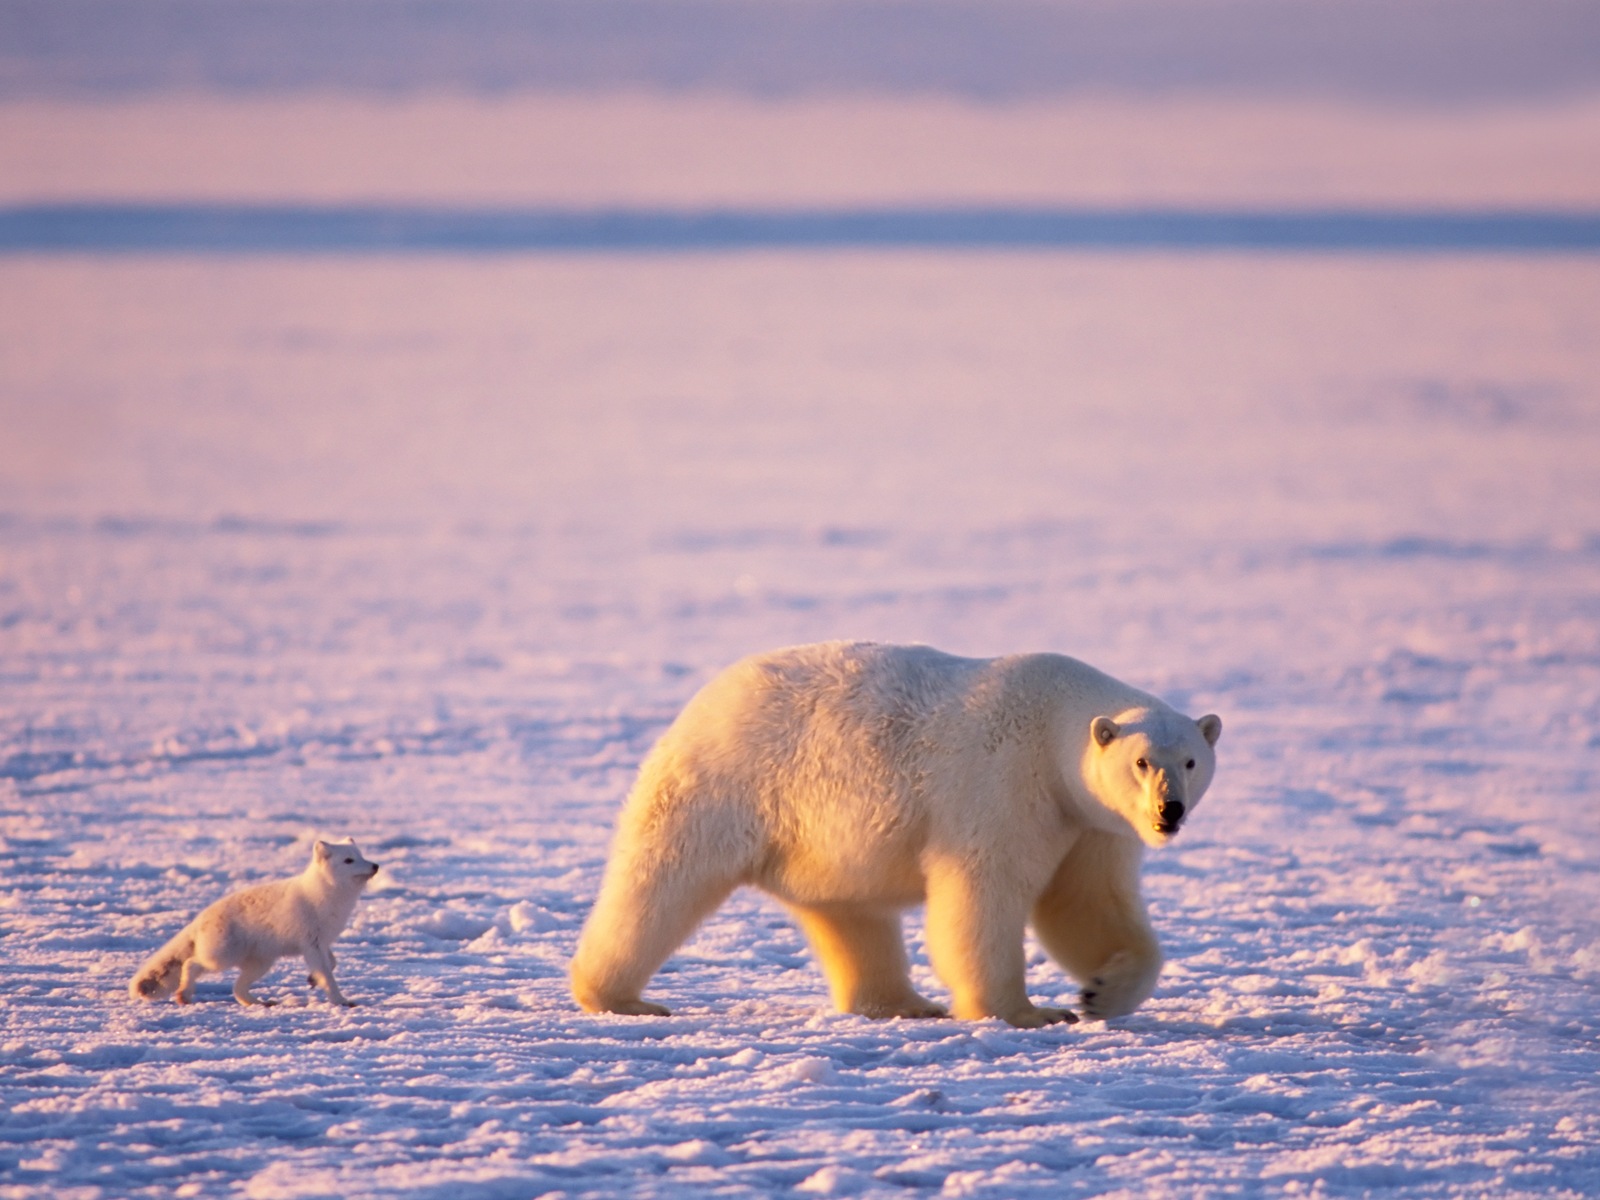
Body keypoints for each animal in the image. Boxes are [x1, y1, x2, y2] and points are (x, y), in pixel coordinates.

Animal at [129, 838, 379, 1011]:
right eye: (348, 860)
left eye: (362, 855)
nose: (375, 865)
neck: (326, 897)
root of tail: (200, 917)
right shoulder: (311, 943)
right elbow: (327, 975)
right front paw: (340, 1000)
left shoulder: (322, 942)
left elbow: (332, 963)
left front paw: (312, 979)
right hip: (222, 957)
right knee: (191, 964)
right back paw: (184, 995)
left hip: (261, 963)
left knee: (237, 988)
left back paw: (260, 1003)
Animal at [569, 643, 1216, 1030]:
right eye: (1141, 761)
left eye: (1190, 760)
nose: (1169, 811)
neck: (1053, 721)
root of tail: (704, 699)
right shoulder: (1003, 784)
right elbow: (983, 893)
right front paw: (1028, 1012)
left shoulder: (1090, 822)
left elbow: (1085, 902)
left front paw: (1101, 991)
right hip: (728, 785)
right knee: (663, 881)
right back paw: (620, 997)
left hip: (820, 840)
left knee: (851, 914)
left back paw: (903, 1003)